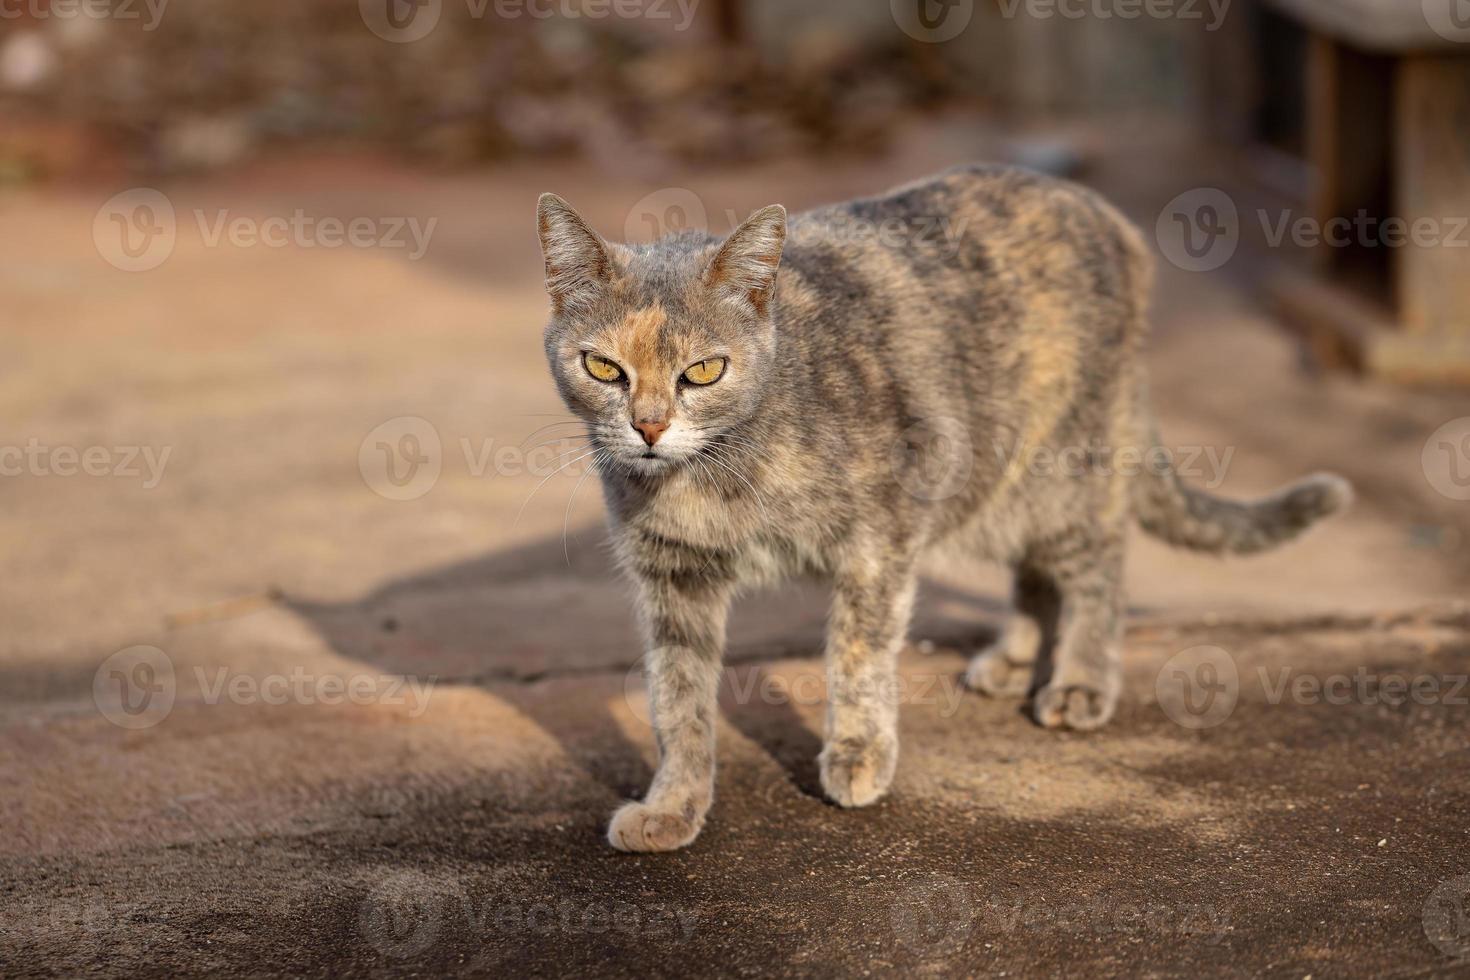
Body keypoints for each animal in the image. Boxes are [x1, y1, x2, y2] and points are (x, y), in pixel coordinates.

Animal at [535, 166, 1346, 852]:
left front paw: (858, 756)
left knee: (1100, 562)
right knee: (1036, 570)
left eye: (703, 371)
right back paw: (1014, 658)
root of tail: (1100, 209)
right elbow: (677, 698)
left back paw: (1080, 680)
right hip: (994, 483)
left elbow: (858, 654)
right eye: (603, 367)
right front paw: (674, 805)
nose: (648, 428)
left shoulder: (880, 537)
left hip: (1062, 469)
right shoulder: (672, 578)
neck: (713, 478)